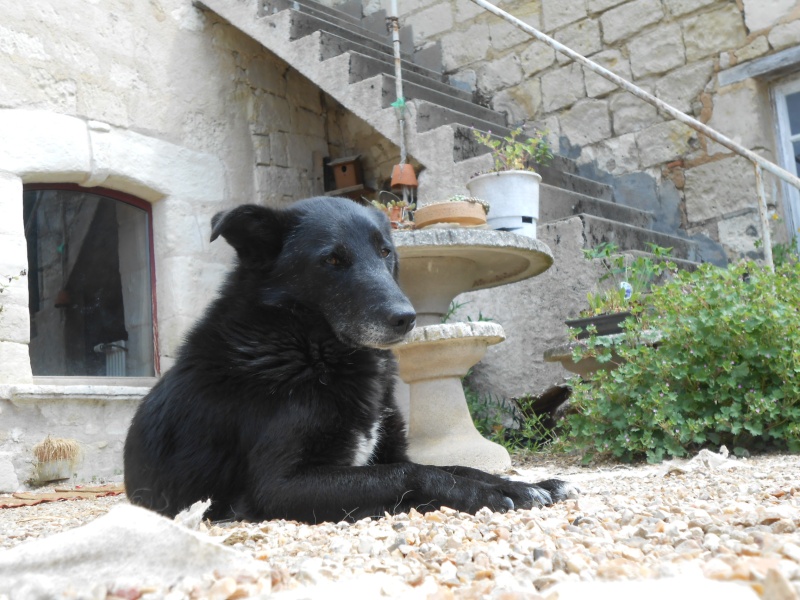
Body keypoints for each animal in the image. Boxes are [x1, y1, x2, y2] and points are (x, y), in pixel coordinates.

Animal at [123, 196, 576, 520]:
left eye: (385, 252)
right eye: (332, 260)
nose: (407, 318)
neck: (309, 348)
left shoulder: (391, 452)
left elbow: (454, 466)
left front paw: (525, 483)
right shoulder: (278, 486)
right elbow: (413, 473)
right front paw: (488, 493)